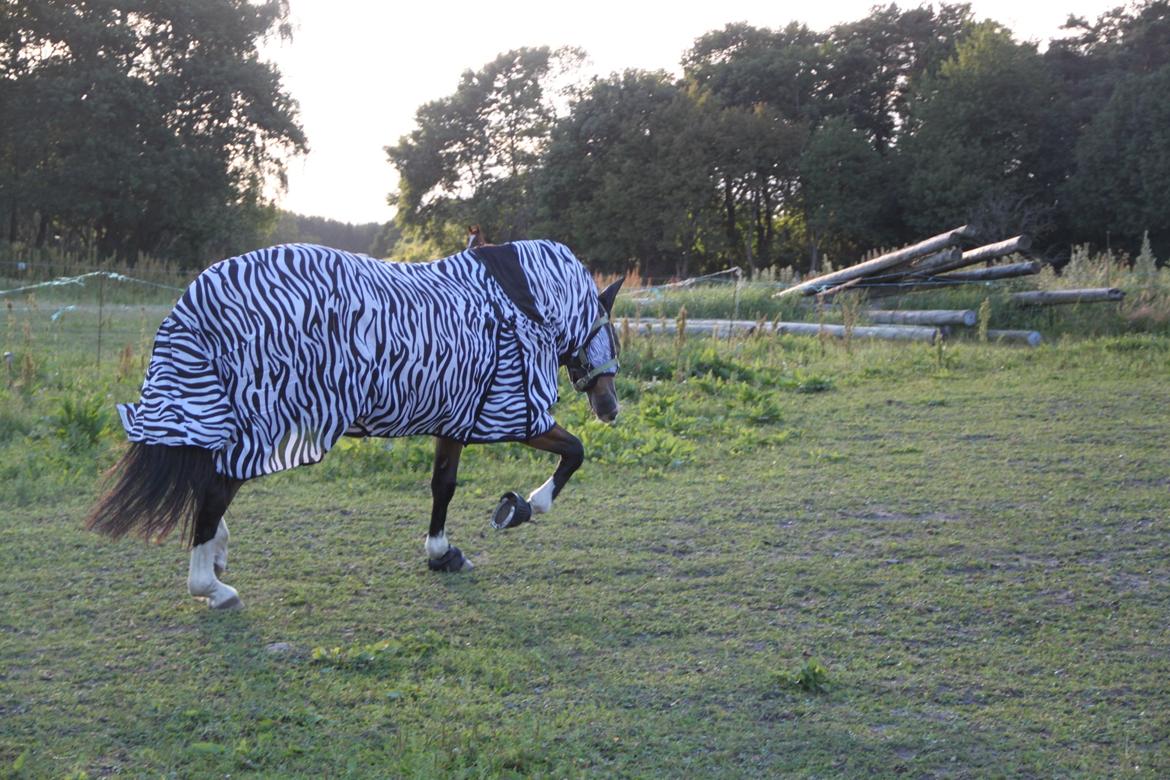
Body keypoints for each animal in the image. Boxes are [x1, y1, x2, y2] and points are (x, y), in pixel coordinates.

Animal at [86, 240, 623, 609]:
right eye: (612, 333)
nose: (610, 407)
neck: (516, 302)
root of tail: (201, 298)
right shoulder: (514, 414)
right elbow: (574, 450)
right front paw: (526, 506)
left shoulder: (455, 417)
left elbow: (443, 485)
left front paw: (441, 553)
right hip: (258, 420)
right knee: (216, 489)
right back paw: (211, 586)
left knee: (210, 486)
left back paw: (216, 554)